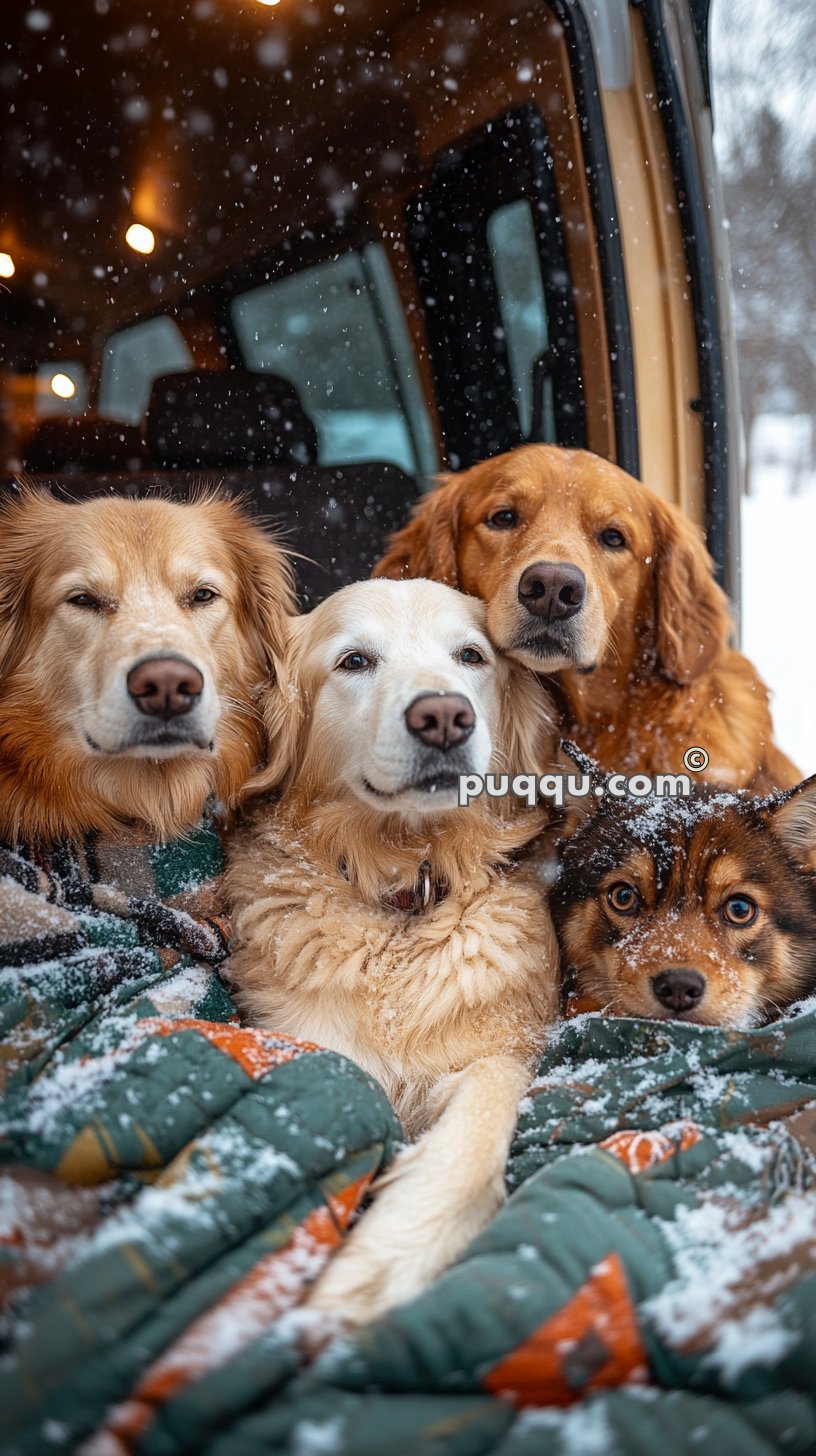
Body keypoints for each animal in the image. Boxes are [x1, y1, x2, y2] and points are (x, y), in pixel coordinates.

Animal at [227, 576, 559, 1322]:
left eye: (471, 656)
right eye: (355, 661)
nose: (444, 717)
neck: (407, 886)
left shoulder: (498, 1053)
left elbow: (482, 1119)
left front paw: (384, 1260)